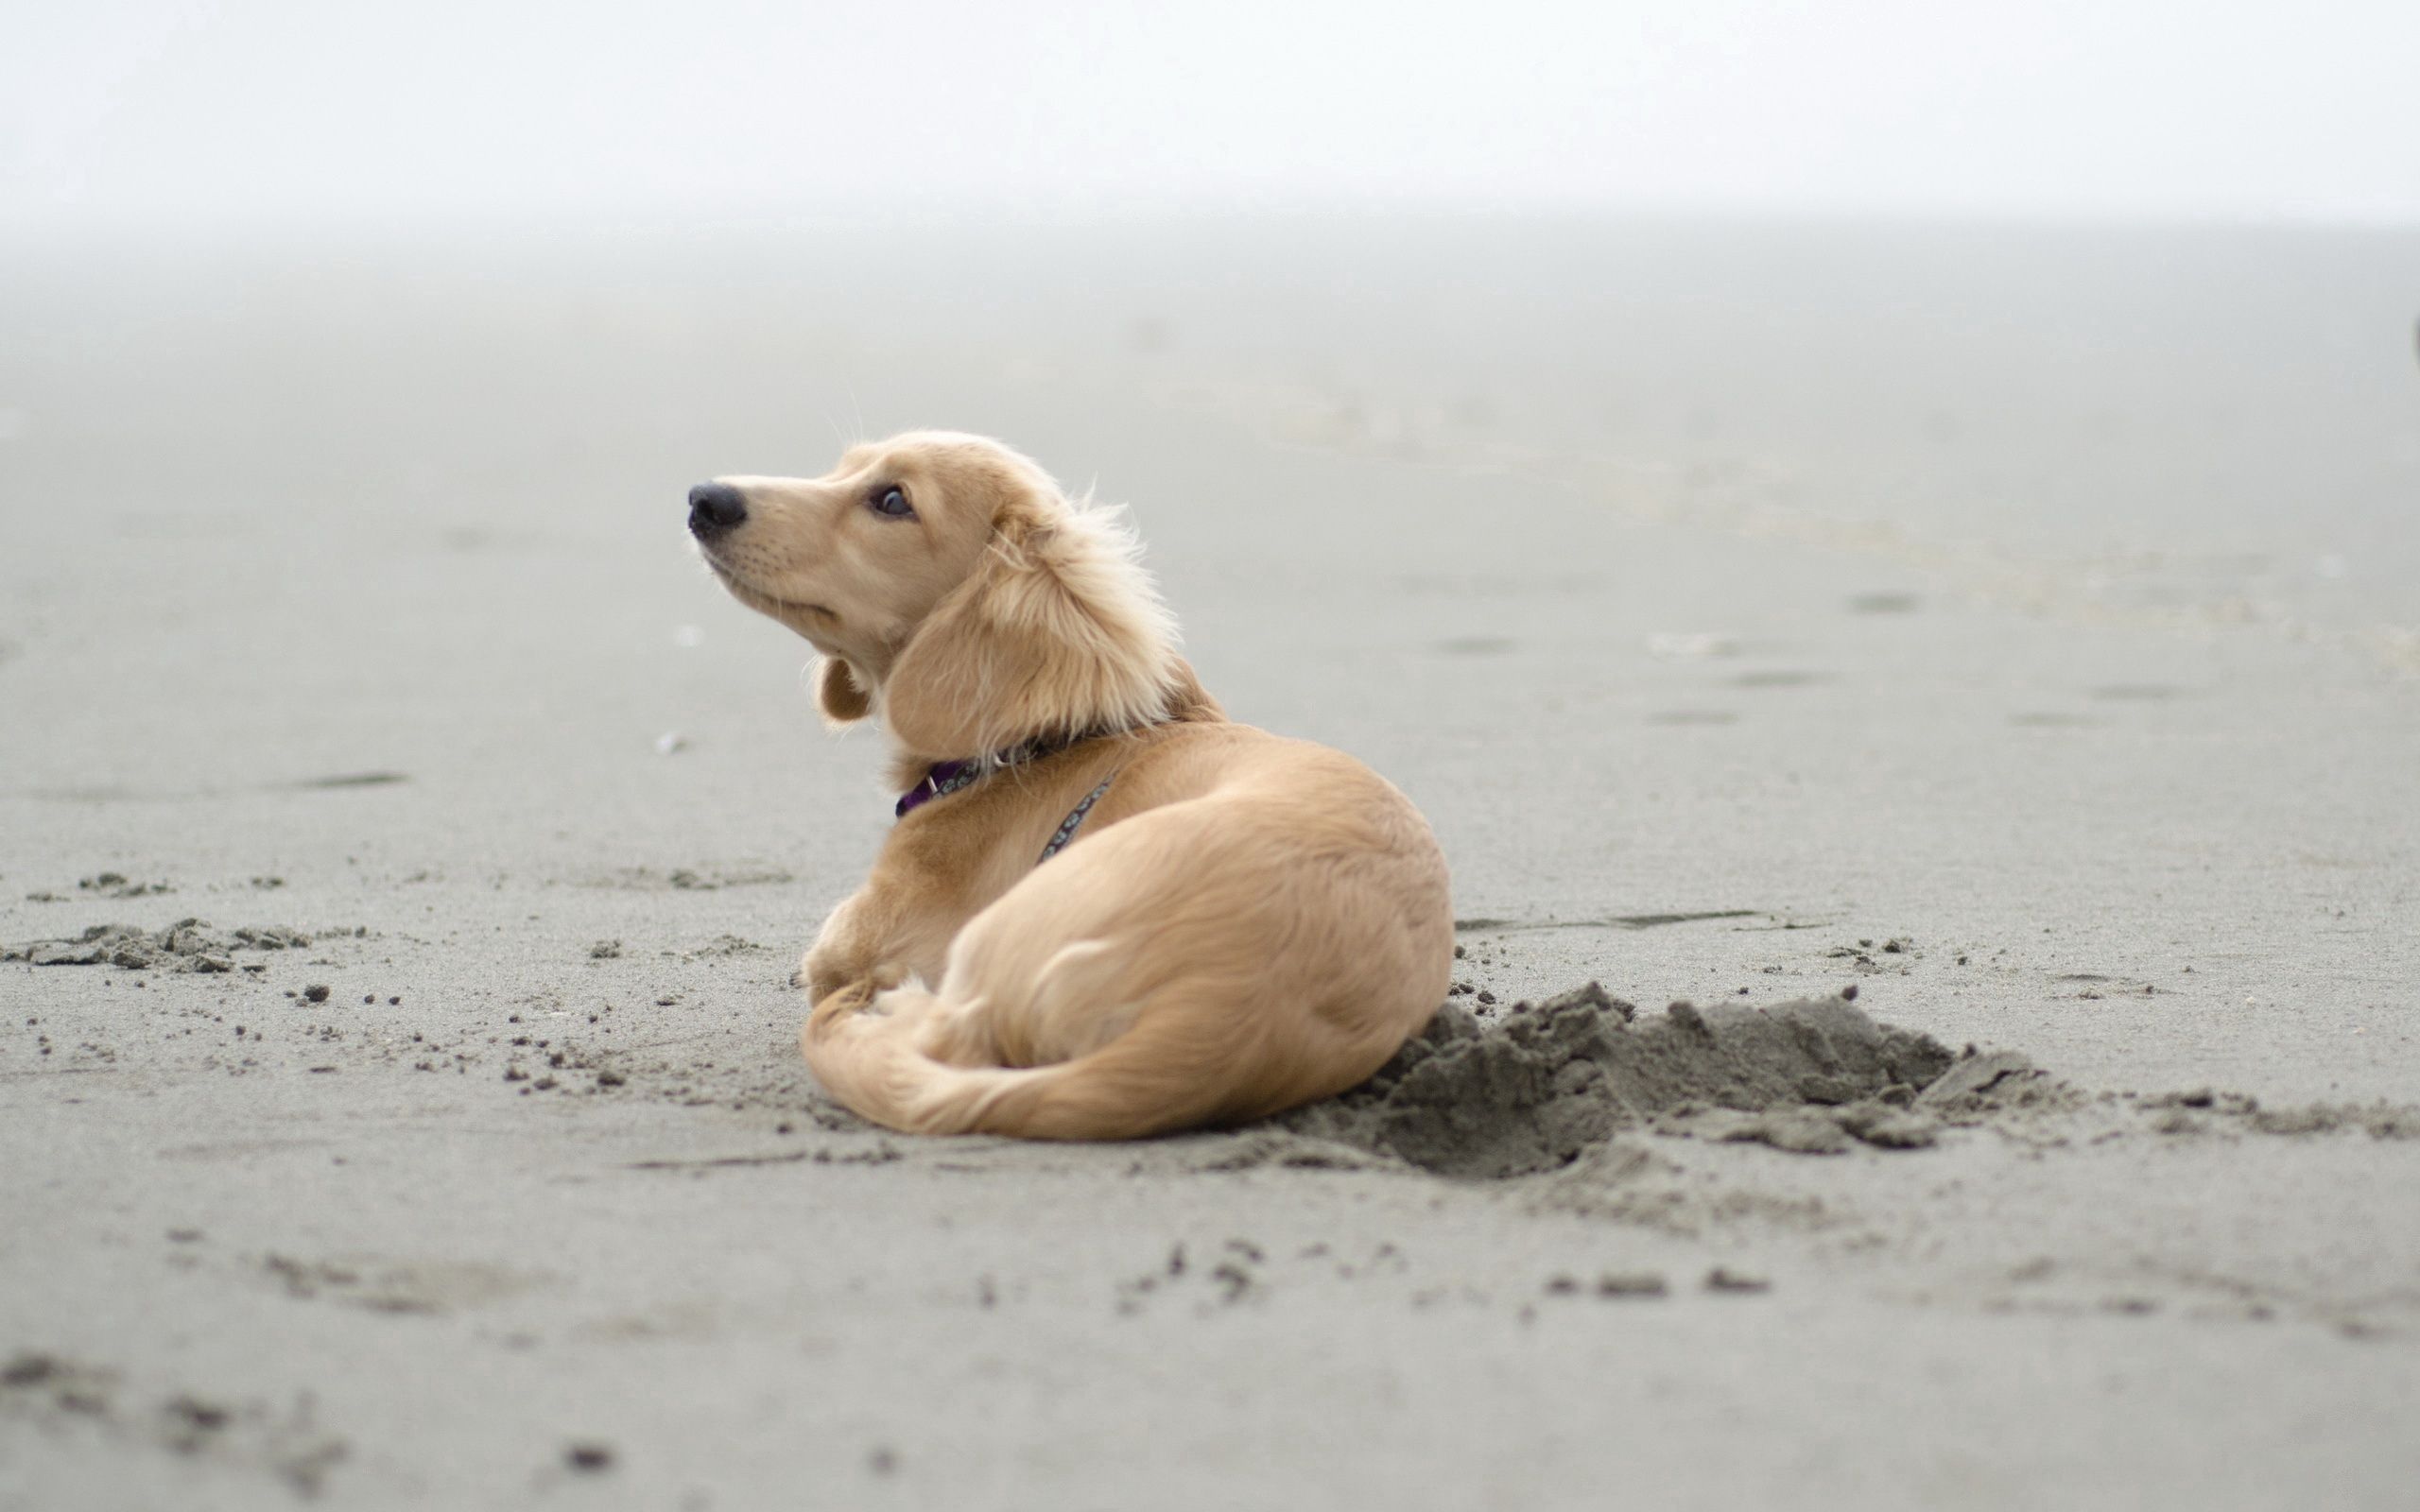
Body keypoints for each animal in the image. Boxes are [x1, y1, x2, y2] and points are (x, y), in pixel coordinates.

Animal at [697, 433, 1452, 1132]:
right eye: (841, 467)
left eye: (892, 500)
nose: (704, 498)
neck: (1040, 744)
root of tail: (1217, 1016)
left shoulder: (866, 936)